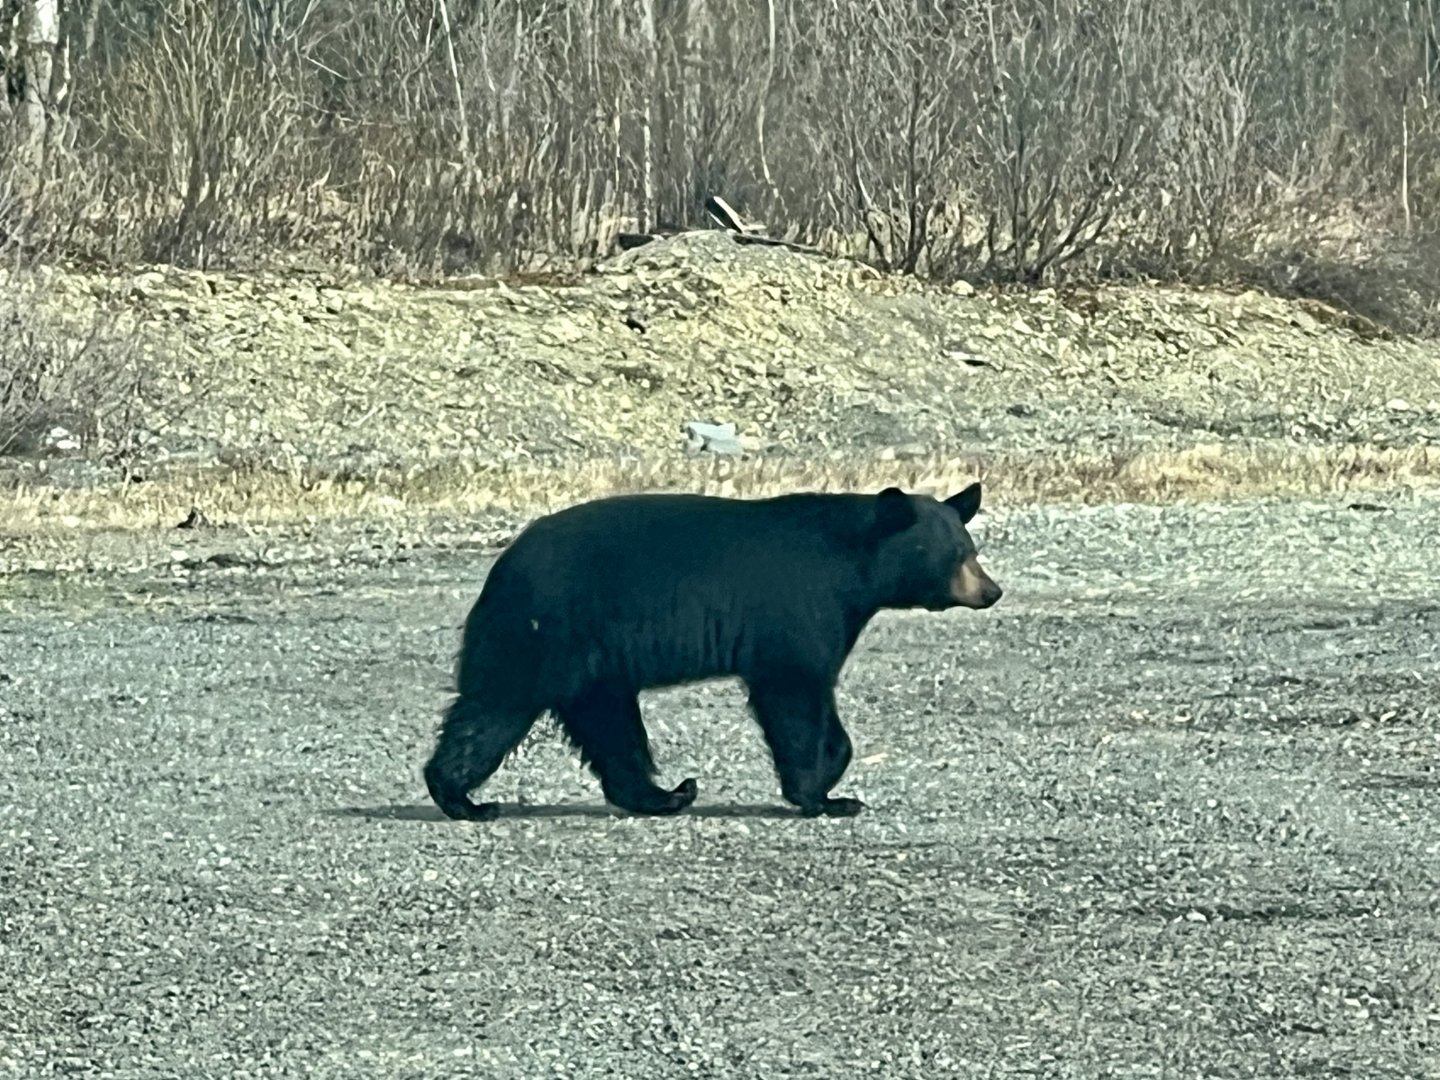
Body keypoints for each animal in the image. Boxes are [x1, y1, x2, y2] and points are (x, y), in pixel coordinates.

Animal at [422, 482, 1003, 821]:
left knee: (608, 724)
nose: (991, 590)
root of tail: (504, 564)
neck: (853, 567)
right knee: (496, 708)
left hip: (594, 661)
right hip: (545, 632)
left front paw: (834, 780)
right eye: (956, 553)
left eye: (971, 549)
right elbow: (795, 692)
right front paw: (824, 796)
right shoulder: (797, 608)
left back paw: (665, 795)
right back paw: (461, 798)